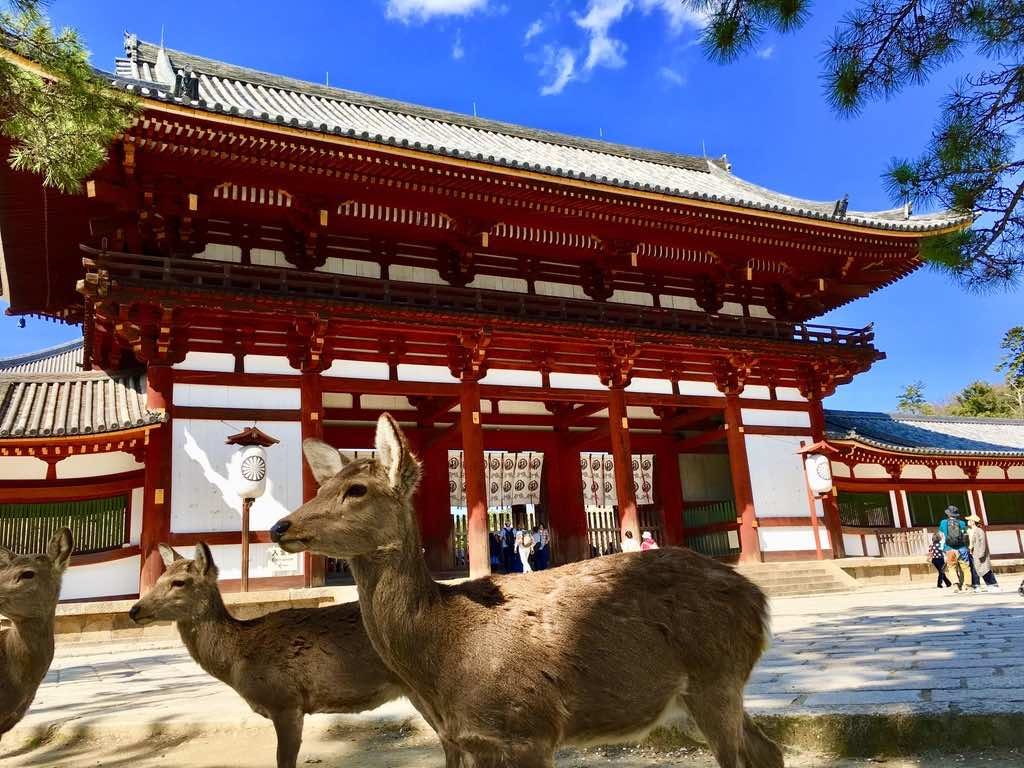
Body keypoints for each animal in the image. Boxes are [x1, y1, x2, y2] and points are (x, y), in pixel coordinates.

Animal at [132, 540, 407, 768]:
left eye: (179, 581)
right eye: (159, 578)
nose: (135, 610)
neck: (238, 660)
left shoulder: (285, 700)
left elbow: (284, 761)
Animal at [272, 417, 782, 768]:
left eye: (357, 489)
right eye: (323, 485)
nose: (280, 526)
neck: (443, 652)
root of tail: (759, 602)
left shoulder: (526, 729)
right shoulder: (466, 738)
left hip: (715, 677)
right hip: (700, 695)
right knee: (768, 750)